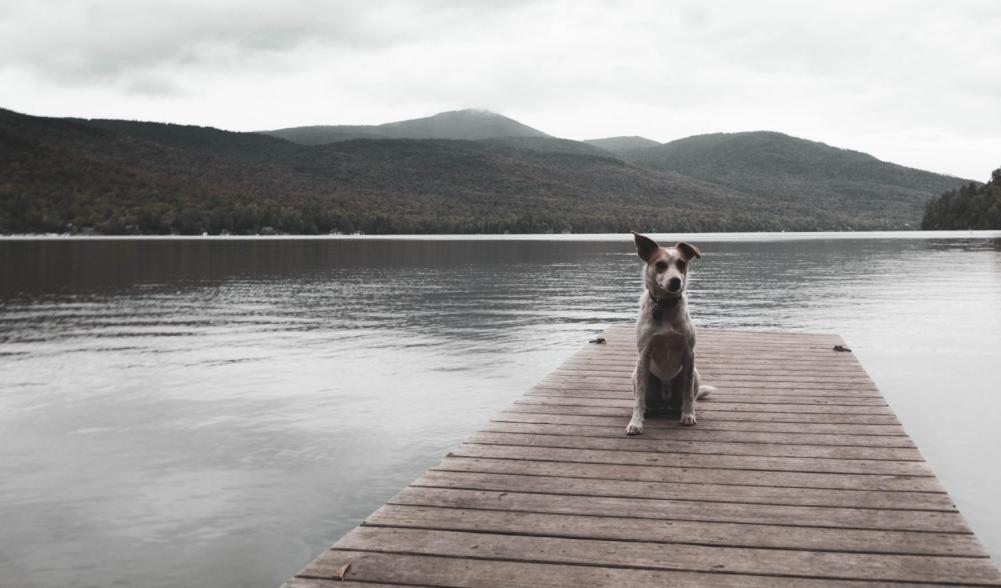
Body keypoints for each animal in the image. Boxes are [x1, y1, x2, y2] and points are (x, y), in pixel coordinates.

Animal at [624, 232, 712, 434]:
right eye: (660, 264)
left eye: (681, 263)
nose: (676, 281)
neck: (664, 306)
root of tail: (665, 402)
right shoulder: (644, 354)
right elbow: (638, 399)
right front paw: (636, 422)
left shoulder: (689, 354)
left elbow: (688, 394)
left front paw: (688, 415)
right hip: (636, 374)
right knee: (644, 399)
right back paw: (647, 411)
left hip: (696, 374)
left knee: (689, 396)